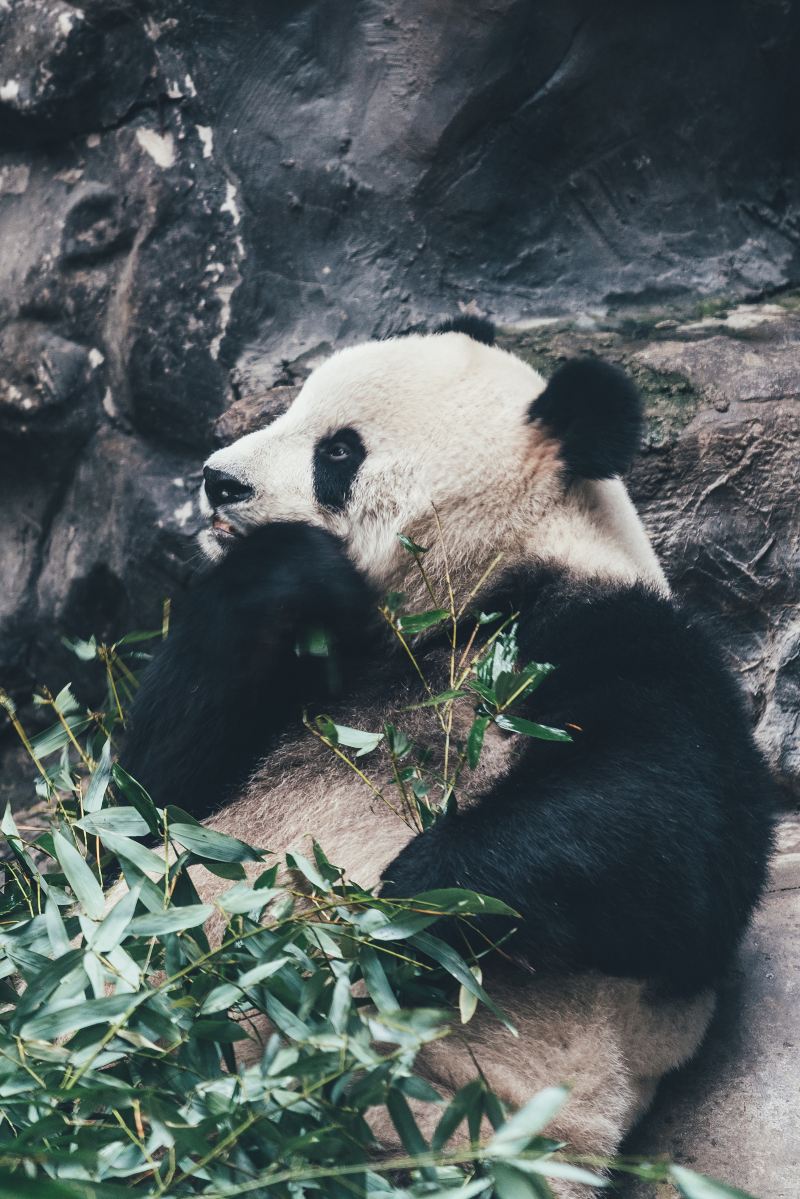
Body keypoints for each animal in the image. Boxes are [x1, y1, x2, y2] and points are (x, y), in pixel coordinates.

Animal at [125, 314, 777, 1194]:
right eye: (293, 406)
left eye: (338, 450)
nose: (217, 480)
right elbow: (151, 796)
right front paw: (289, 566)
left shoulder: (604, 636)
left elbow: (678, 846)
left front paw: (413, 892)